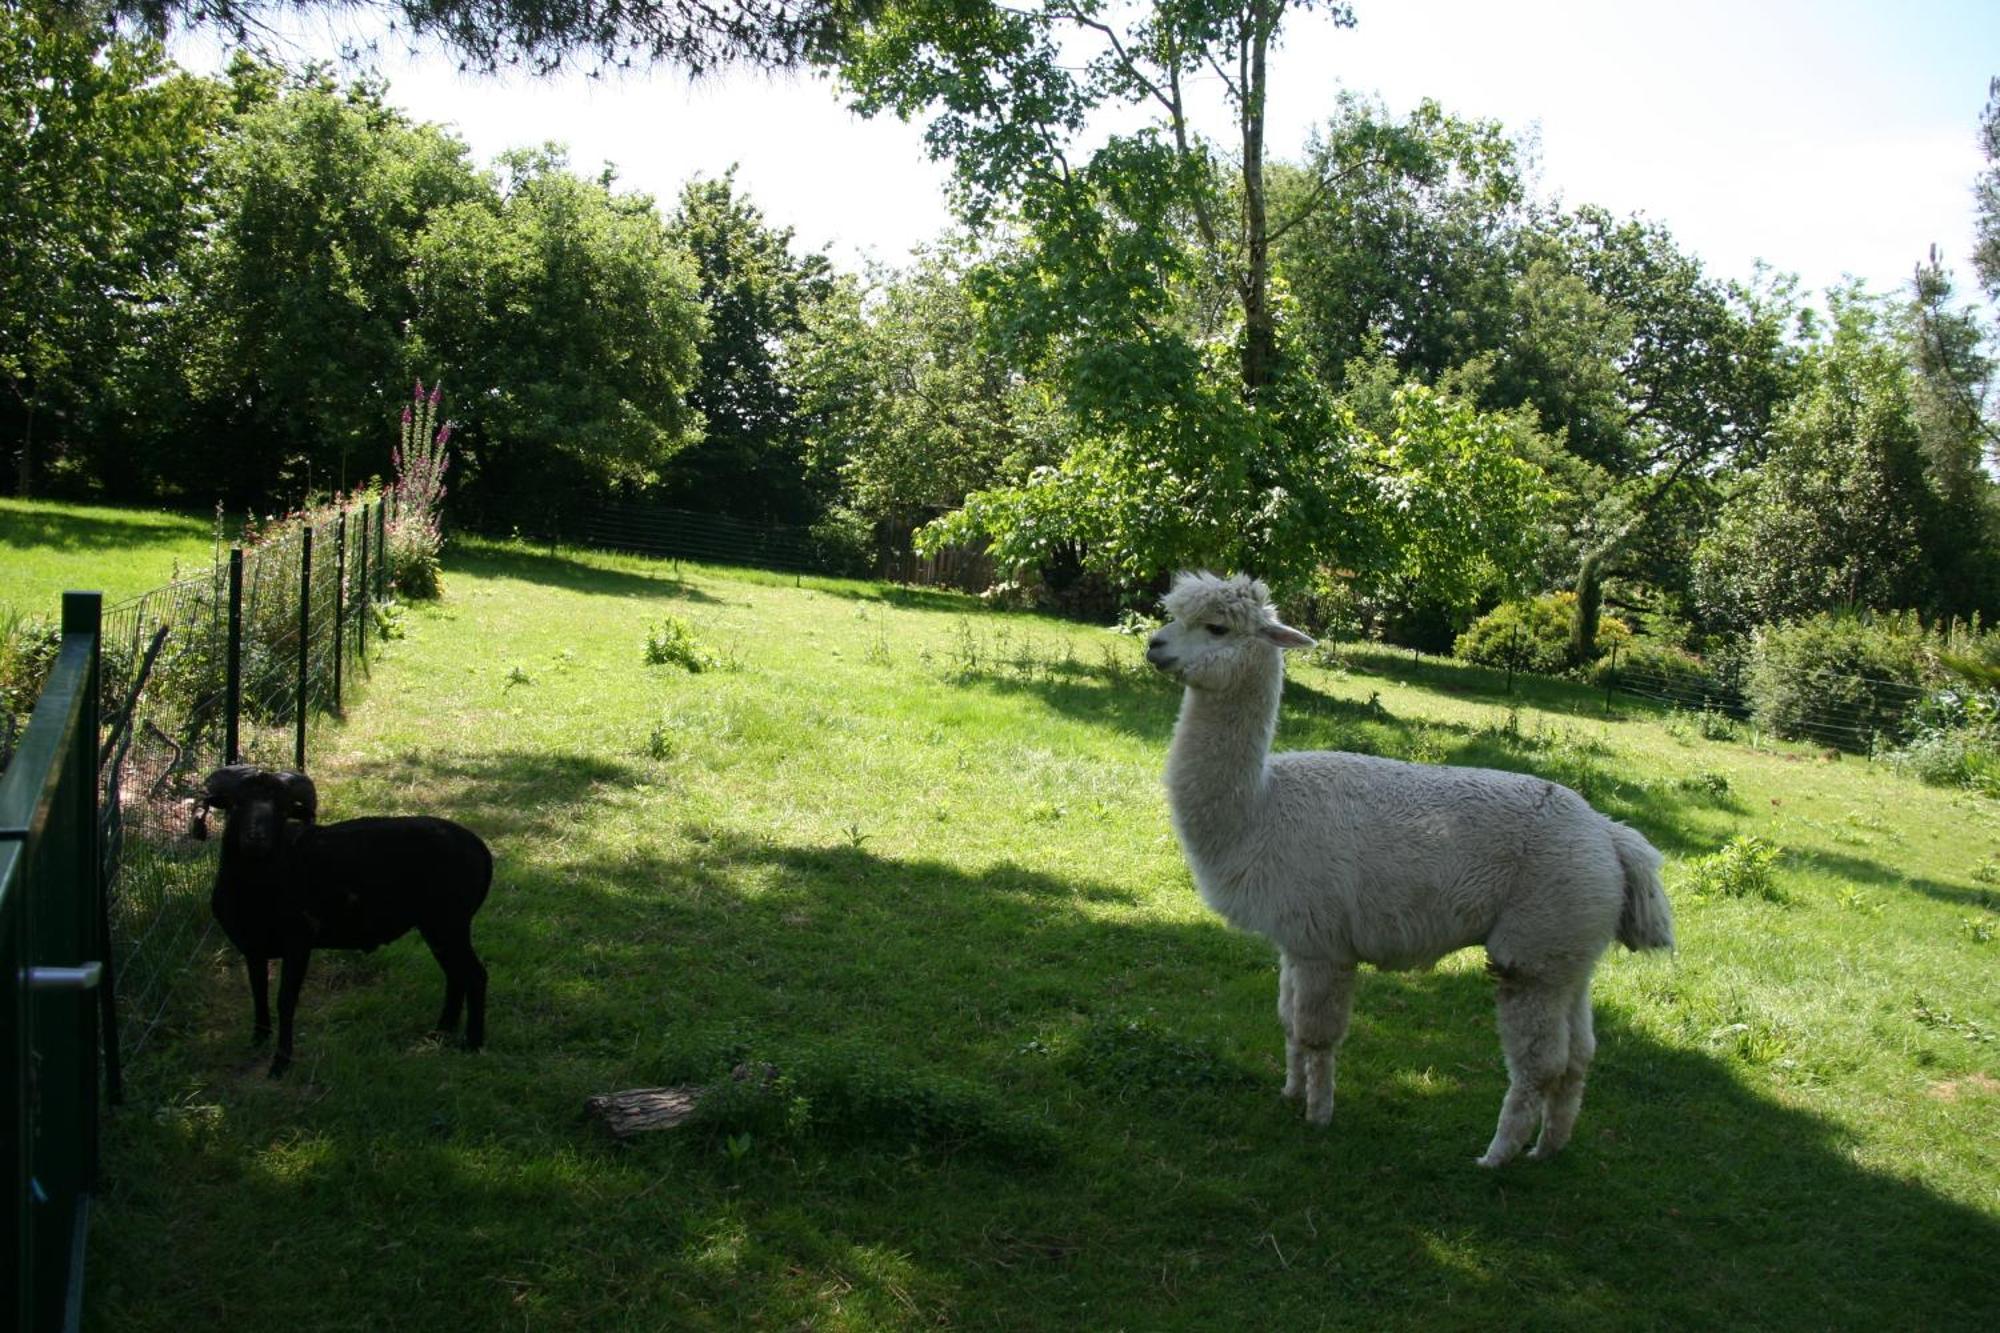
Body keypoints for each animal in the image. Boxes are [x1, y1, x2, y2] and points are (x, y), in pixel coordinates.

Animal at [196, 764, 492, 1072]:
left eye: (283, 808)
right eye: (236, 803)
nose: (256, 837)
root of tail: (481, 849)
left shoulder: (298, 943)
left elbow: (285, 1000)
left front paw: (280, 1062)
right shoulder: (252, 947)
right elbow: (258, 992)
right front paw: (258, 1040)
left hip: (449, 922)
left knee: (474, 975)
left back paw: (472, 1043)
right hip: (436, 927)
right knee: (455, 975)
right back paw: (440, 1034)